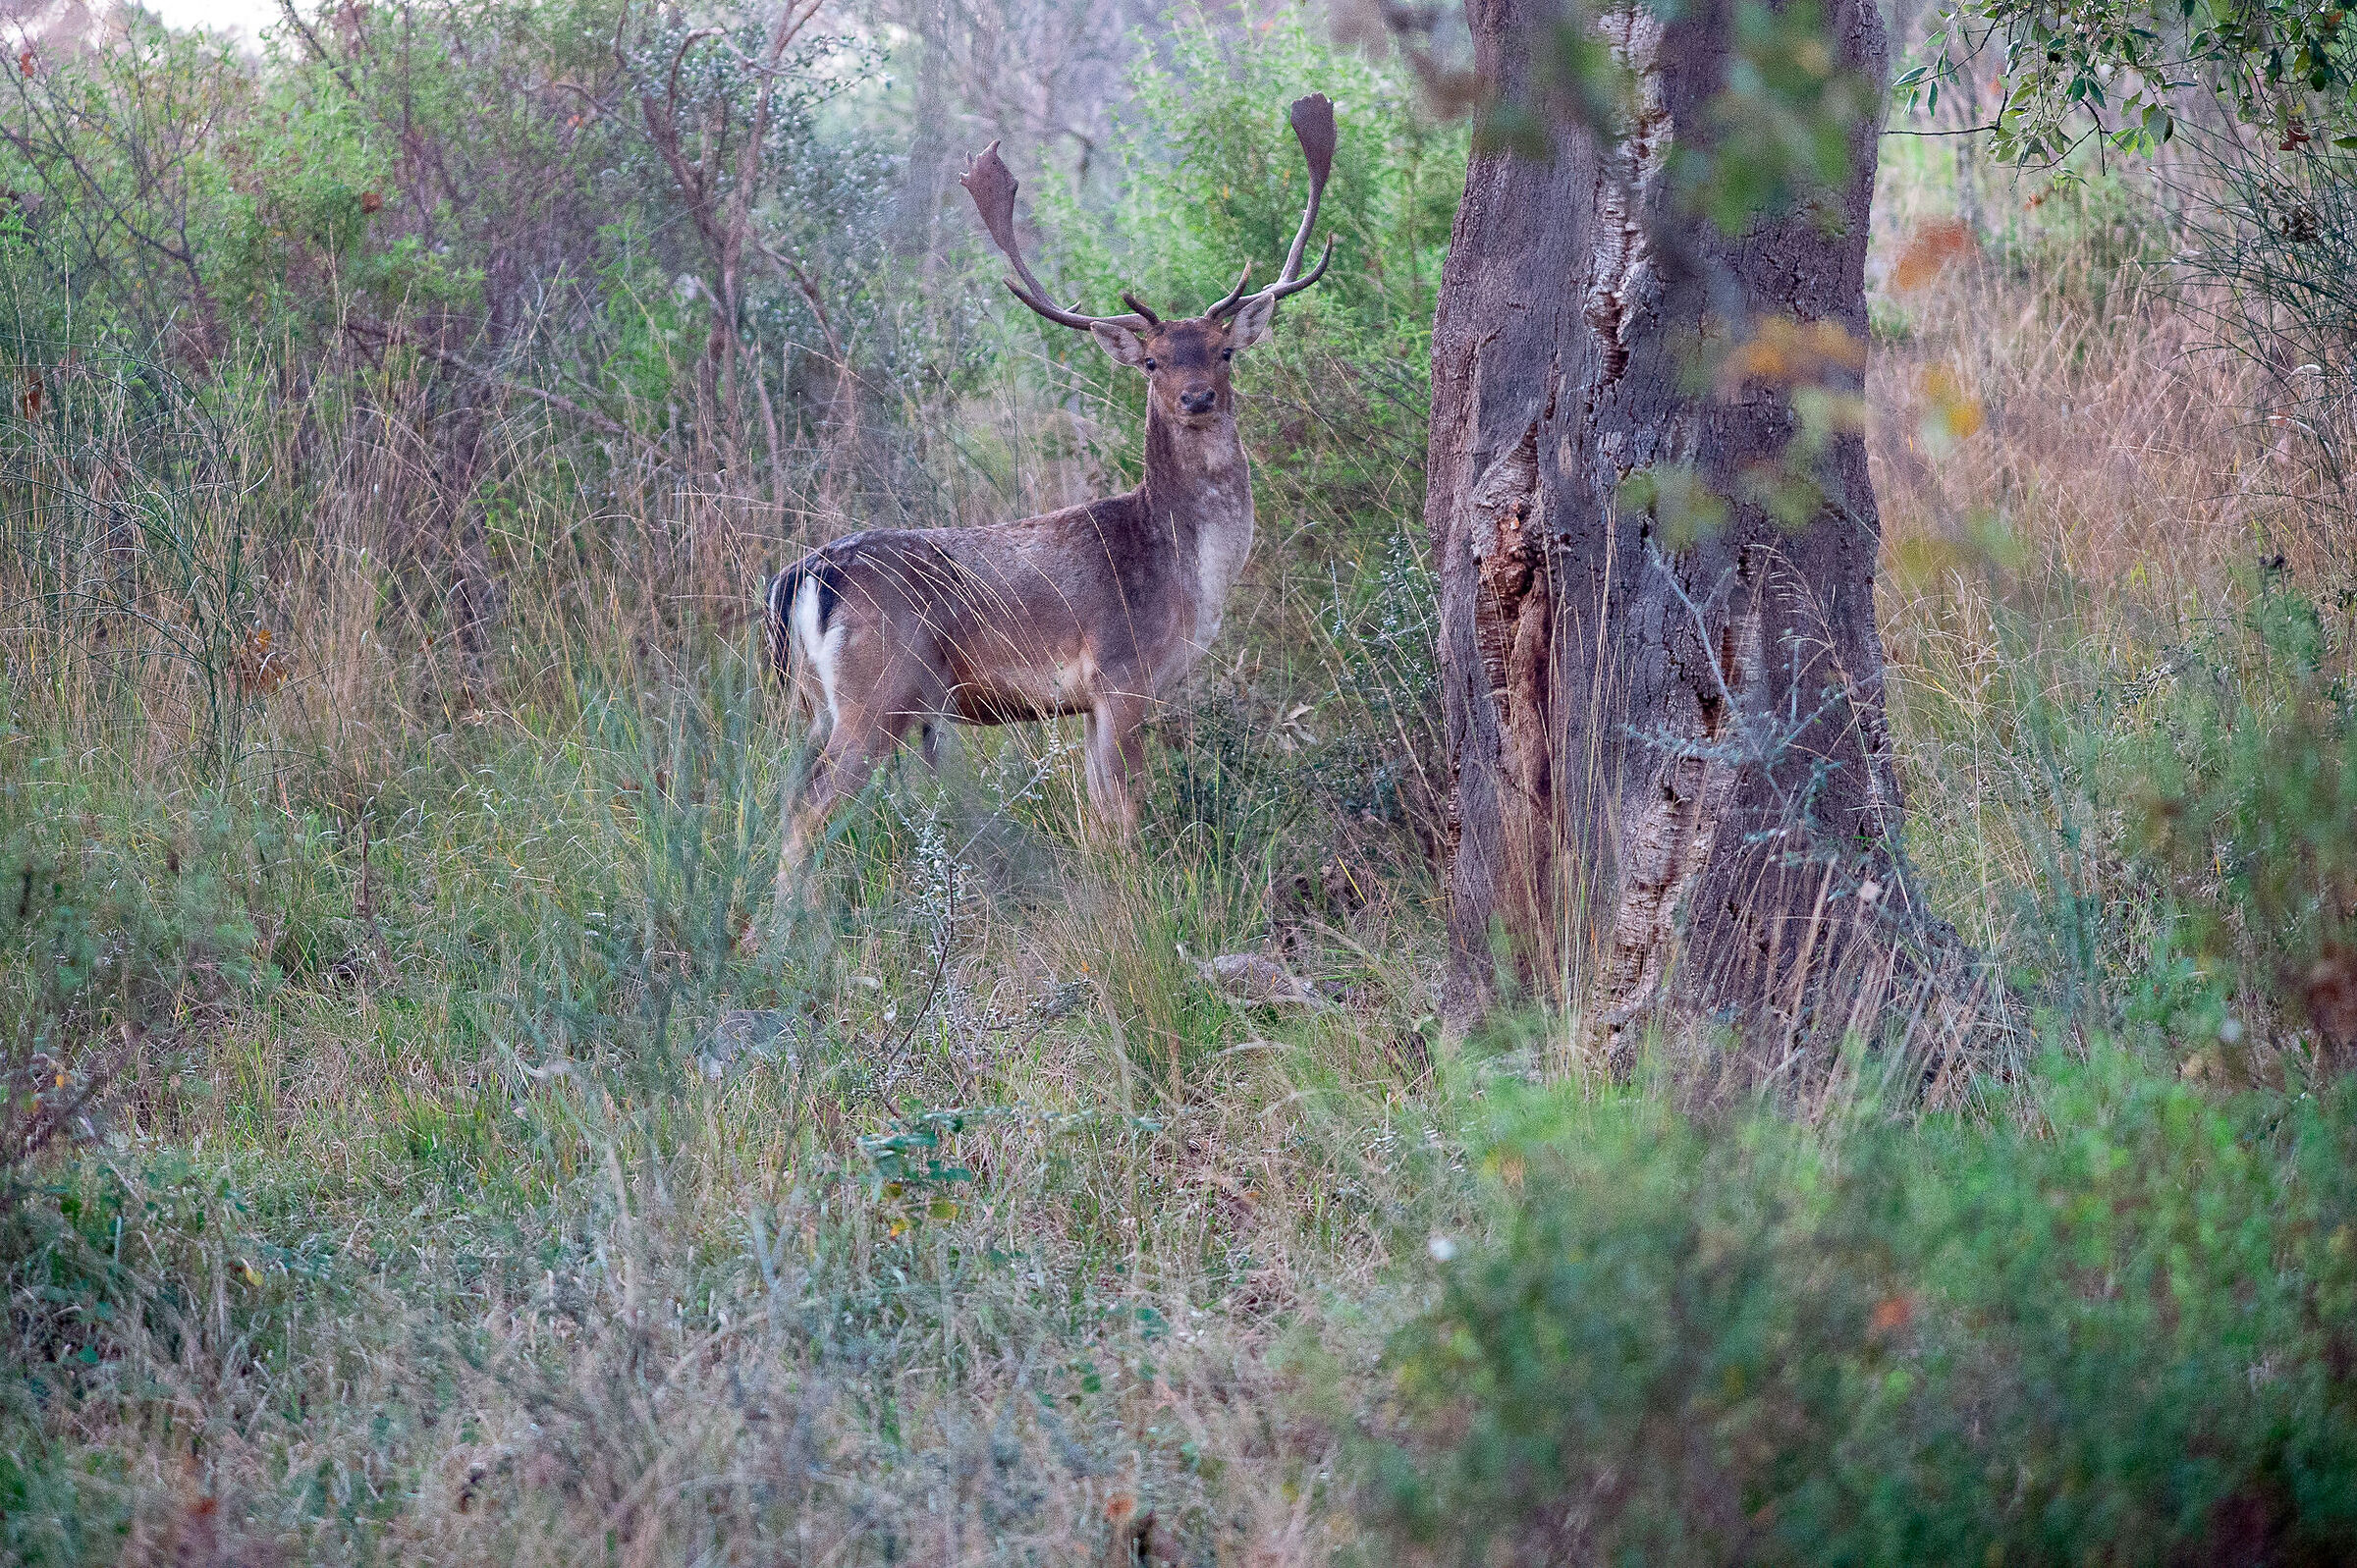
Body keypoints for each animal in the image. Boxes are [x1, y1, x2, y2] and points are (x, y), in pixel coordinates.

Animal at [763, 93, 1335, 914]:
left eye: (1224, 350)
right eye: (1154, 360)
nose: (1197, 398)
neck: (1188, 576)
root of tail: (804, 575)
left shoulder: (1093, 701)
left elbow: (1098, 819)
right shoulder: (1124, 672)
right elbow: (1124, 816)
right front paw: (1136, 908)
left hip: (815, 701)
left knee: (782, 797)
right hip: (879, 691)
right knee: (809, 808)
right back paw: (793, 928)